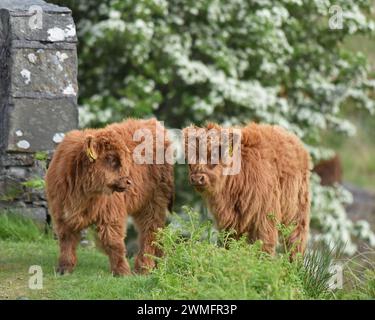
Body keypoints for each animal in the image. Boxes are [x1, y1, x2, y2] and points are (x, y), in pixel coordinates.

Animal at [46, 118, 175, 276]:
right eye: (110, 158)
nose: (128, 182)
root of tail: (152, 122)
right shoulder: (61, 214)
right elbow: (66, 240)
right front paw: (64, 268)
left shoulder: (110, 213)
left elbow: (113, 242)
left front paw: (122, 272)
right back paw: (157, 265)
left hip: (154, 201)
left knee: (151, 231)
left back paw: (143, 268)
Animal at [184, 122, 312, 258]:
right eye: (190, 158)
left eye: (214, 155)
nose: (197, 178)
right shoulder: (229, 221)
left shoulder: (265, 215)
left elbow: (264, 244)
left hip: (298, 209)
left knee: (296, 238)